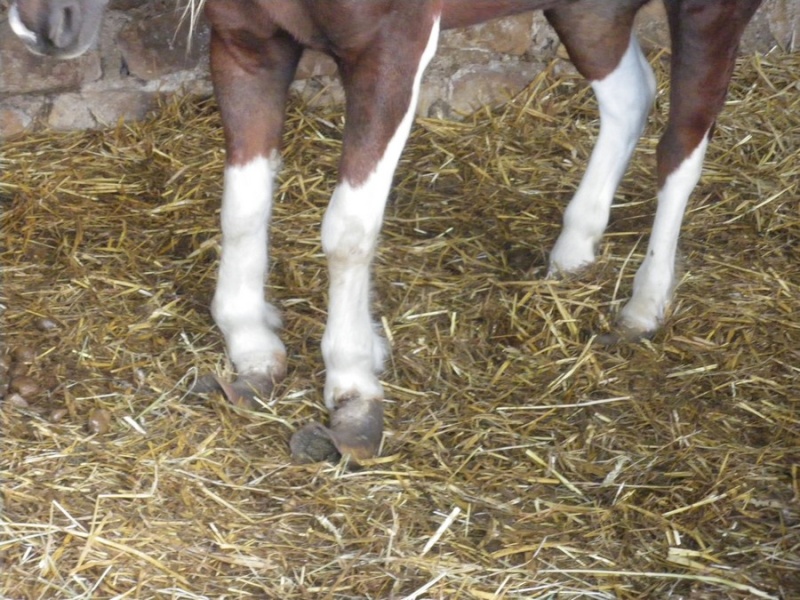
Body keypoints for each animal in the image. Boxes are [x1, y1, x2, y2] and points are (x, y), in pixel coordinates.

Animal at [9, 0, 764, 462]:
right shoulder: (247, 42)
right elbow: (244, 205)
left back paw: (645, 305)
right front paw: (250, 345)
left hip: (708, 11)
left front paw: (352, 385)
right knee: (629, 95)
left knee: (684, 143)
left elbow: (348, 227)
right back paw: (573, 252)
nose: (42, 27)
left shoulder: (393, 50)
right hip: (589, 9)